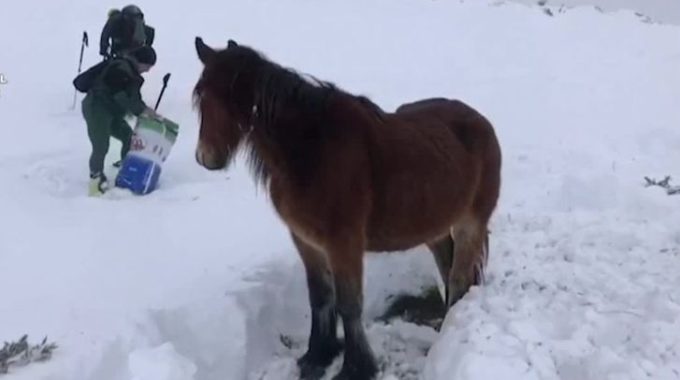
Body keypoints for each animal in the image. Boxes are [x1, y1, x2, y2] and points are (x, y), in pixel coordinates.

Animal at [191, 37, 500, 380]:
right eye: (201, 94)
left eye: (233, 100)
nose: (206, 158)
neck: (312, 152)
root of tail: (482, 123)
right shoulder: (306, 241)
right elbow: (320, 296)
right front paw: (317, 355)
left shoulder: (343, 243)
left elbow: (349, 304)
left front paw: (355, 367)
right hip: (434, 226)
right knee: (447, 266)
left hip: (471, 223)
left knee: (459, 277)